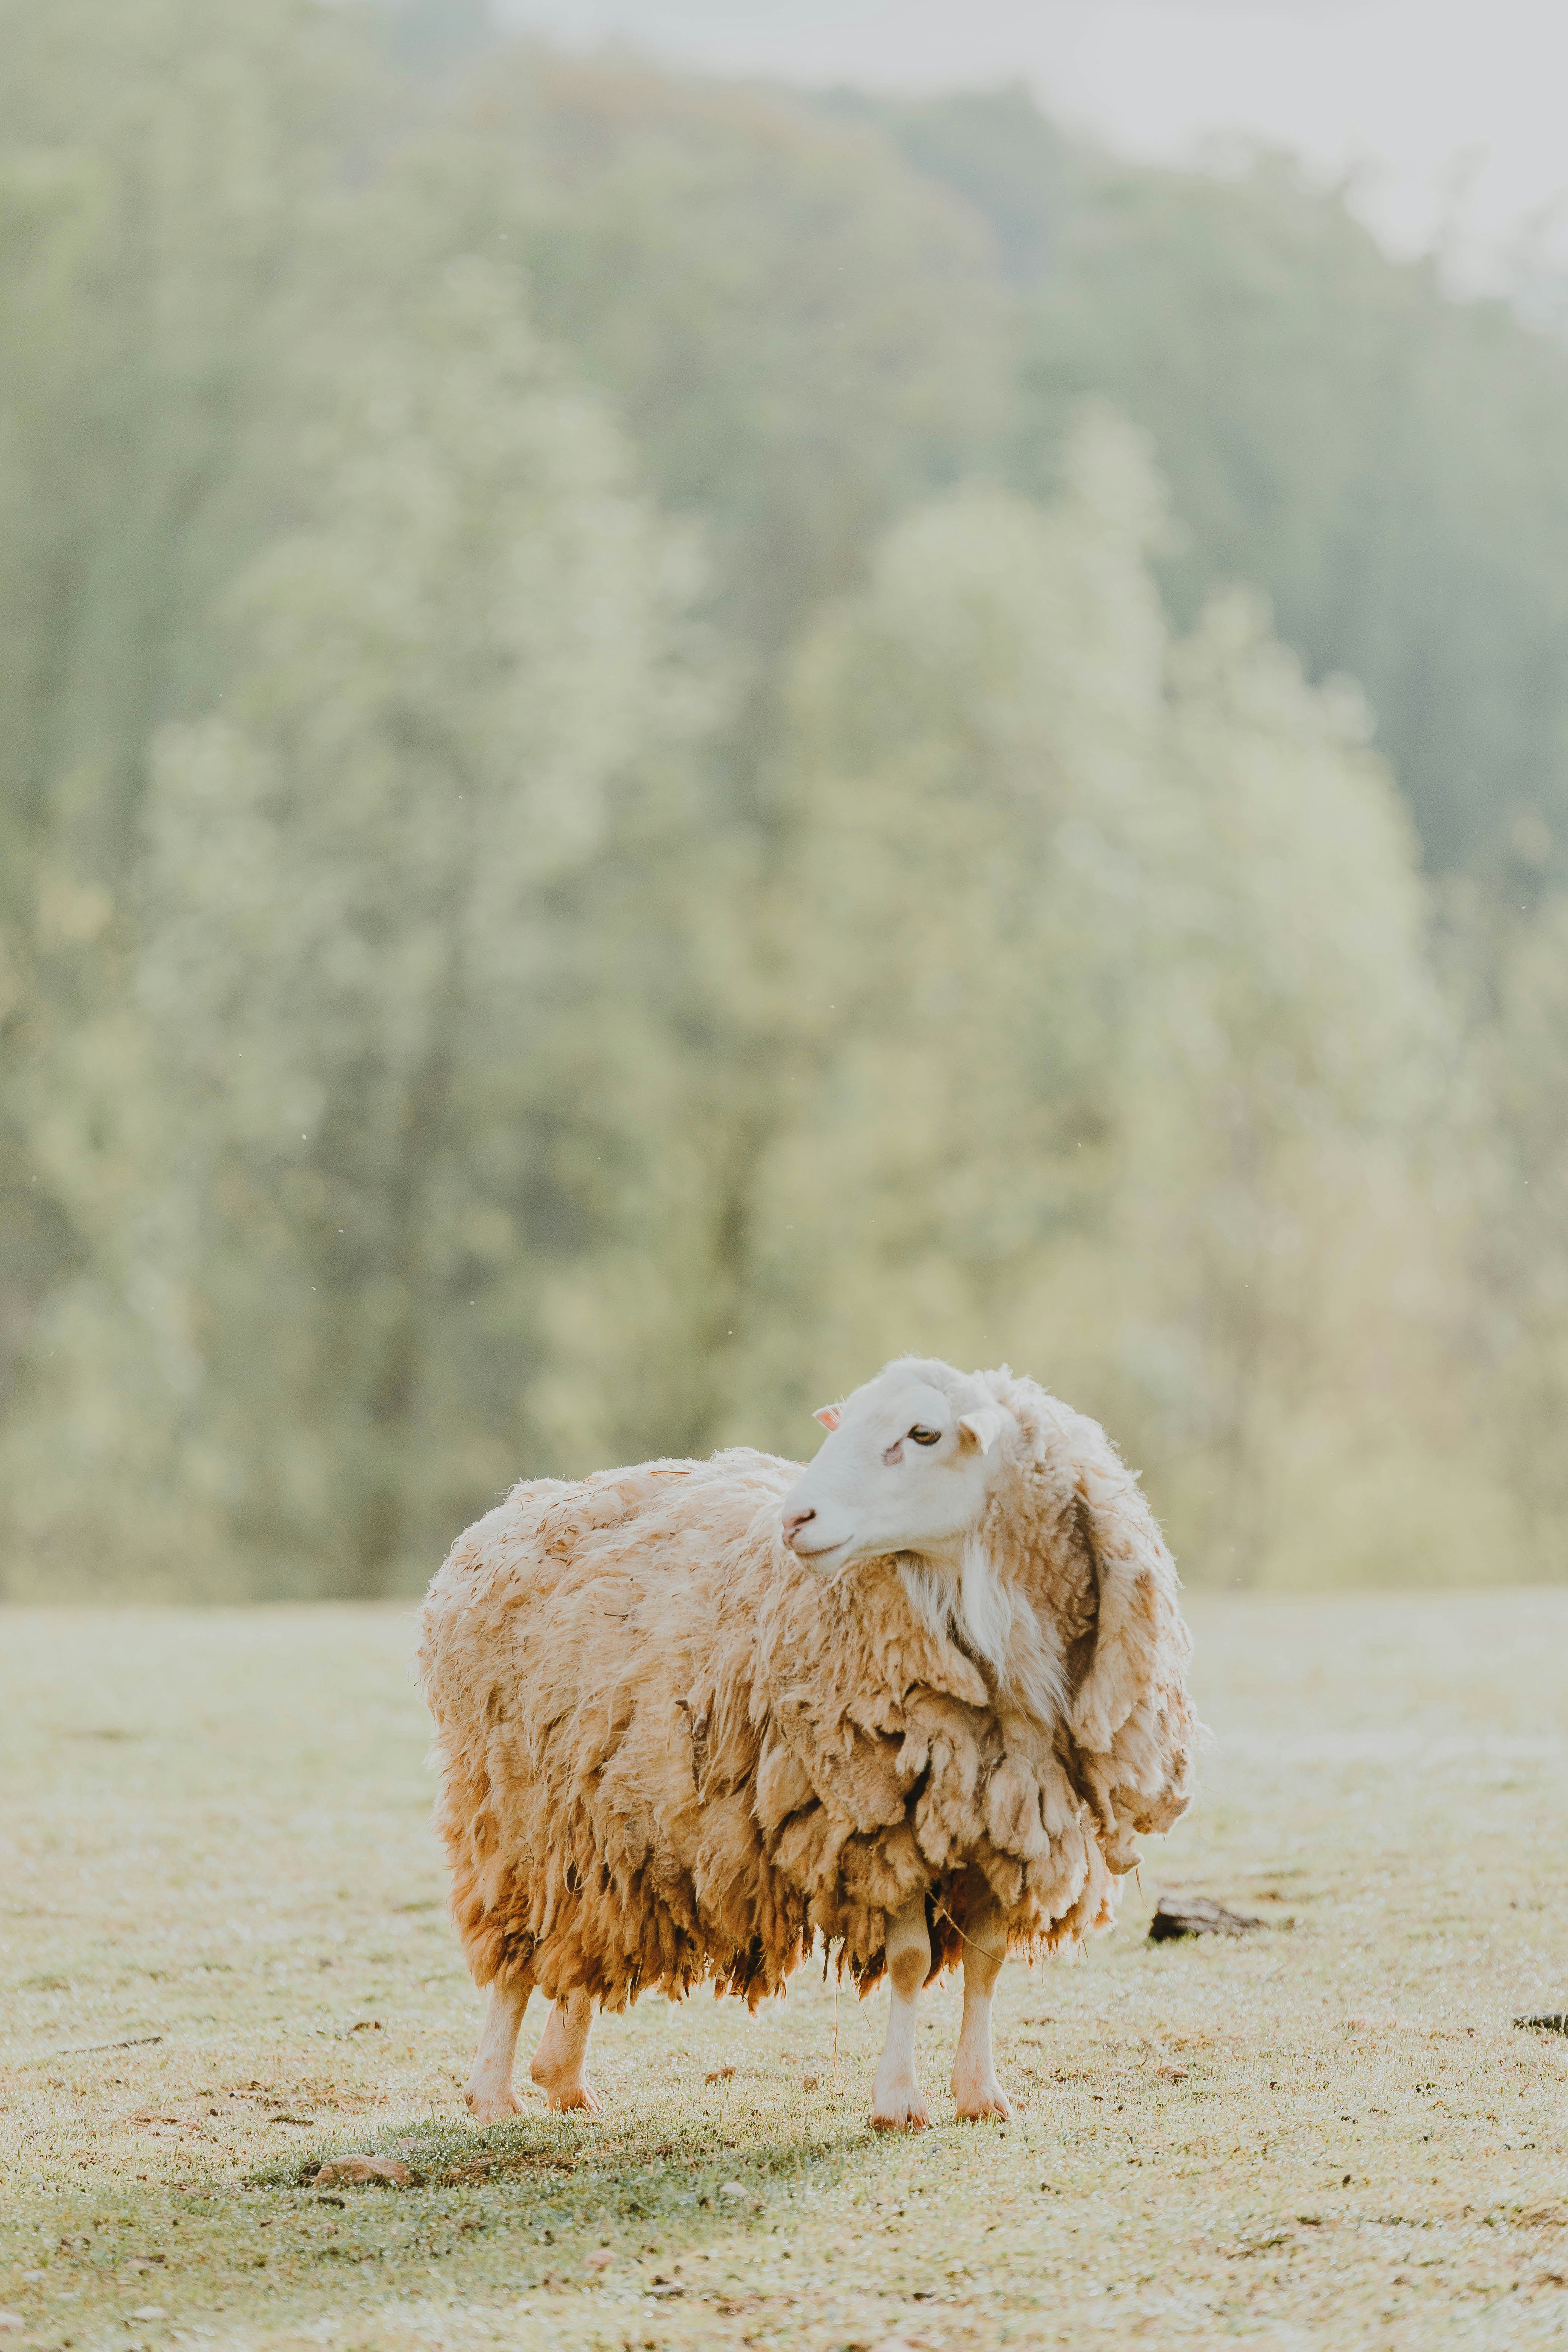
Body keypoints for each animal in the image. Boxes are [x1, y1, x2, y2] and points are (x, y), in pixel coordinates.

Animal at [415, 1355, 1195, 2131]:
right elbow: (910, 1962)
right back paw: (492, 2091)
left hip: (601, 1826)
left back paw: (563, 2077)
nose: (796, 1519)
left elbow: (988, 1958)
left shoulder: (1007, 1821)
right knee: (518, 1951)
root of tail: (514, 1508)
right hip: (517, 1817)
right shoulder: (881, 1825)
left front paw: (981, 2095)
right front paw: (899, 2102)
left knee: (585, 1935)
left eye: (923, 1433)